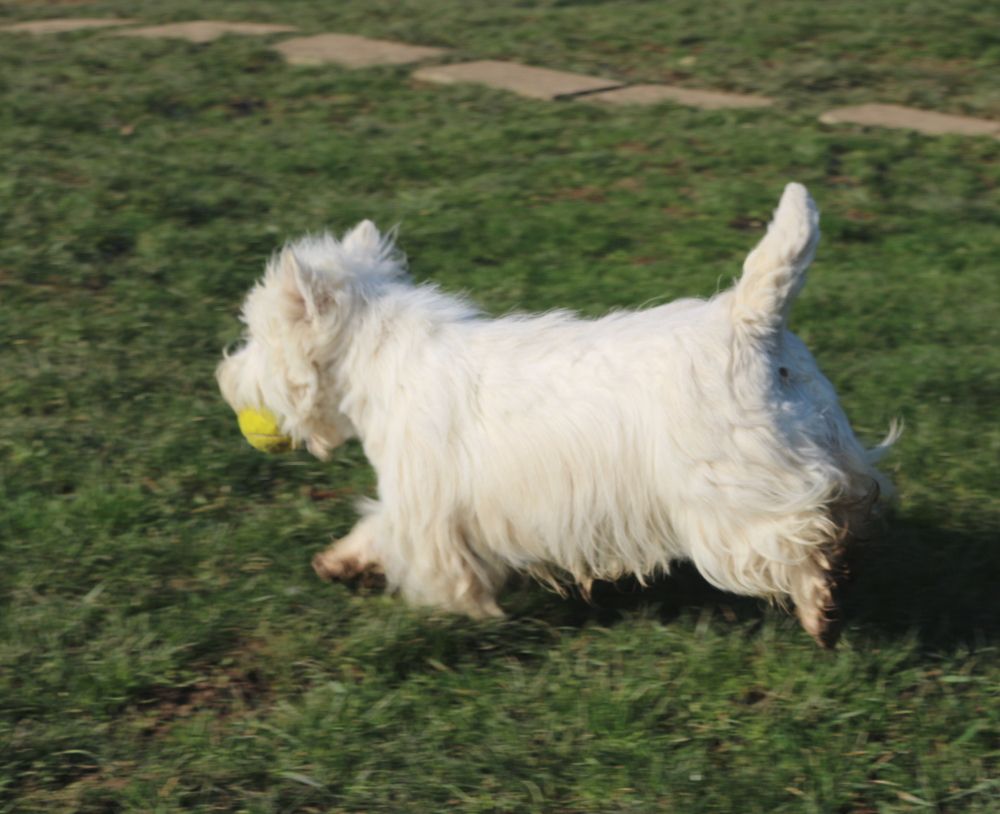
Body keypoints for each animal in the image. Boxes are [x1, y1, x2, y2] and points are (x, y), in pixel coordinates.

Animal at [219, 183, 900, 644]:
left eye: (255, 332)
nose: (224, 377)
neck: (381, 359)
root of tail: (751, 321)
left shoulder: (428, 502)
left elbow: (410, 543)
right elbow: (376, 530)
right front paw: (340, 560)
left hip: (732, 496)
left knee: (799, 535)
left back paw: (820, 607)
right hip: (825, 444)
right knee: (851, 502)